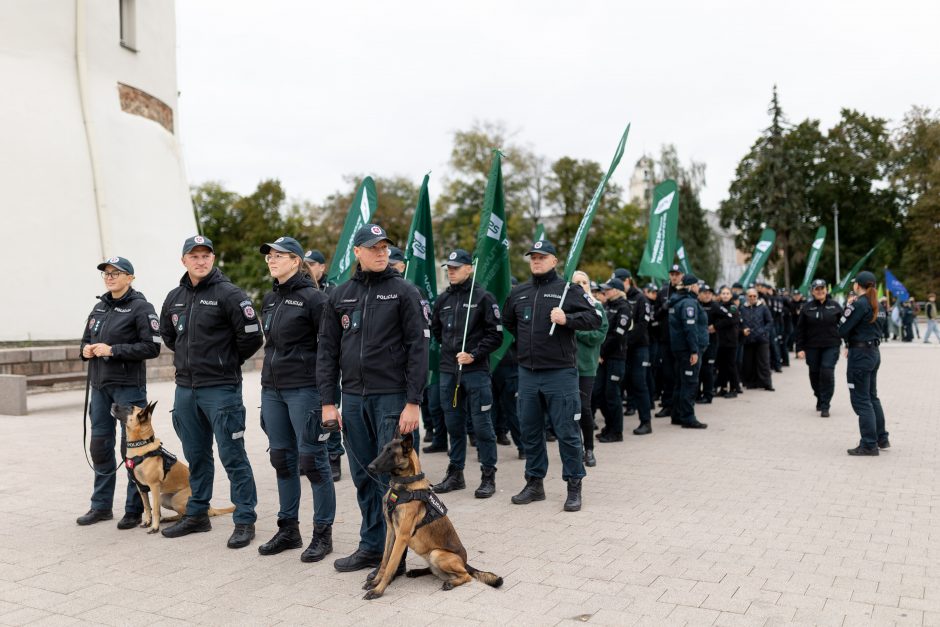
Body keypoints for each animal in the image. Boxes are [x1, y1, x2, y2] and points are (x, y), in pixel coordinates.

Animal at [112, 402, 235, 536]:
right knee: (180, 514)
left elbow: (155, 510)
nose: (113, 404)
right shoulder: (141, 488)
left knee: (185, 513)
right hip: (164, 498)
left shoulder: (154, 487)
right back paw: (169, 519)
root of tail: (210, 507)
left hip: (176, 499)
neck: (141, 444)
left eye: (130, 408)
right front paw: (147, 521)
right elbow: (147, 507)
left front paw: (154, 527)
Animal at [362, 430, 506, 600]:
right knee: (434, 570)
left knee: (466, 576)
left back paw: (450, 583)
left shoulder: (402, 536)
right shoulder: (391, 531)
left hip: (436, 554)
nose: (369, 467)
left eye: (391, 453)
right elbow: (385, 560)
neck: (404, 486)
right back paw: (417, 572)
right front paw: (375, 582)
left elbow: (391, 564)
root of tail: (465, 562)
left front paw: (378, 590)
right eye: (383, 450)